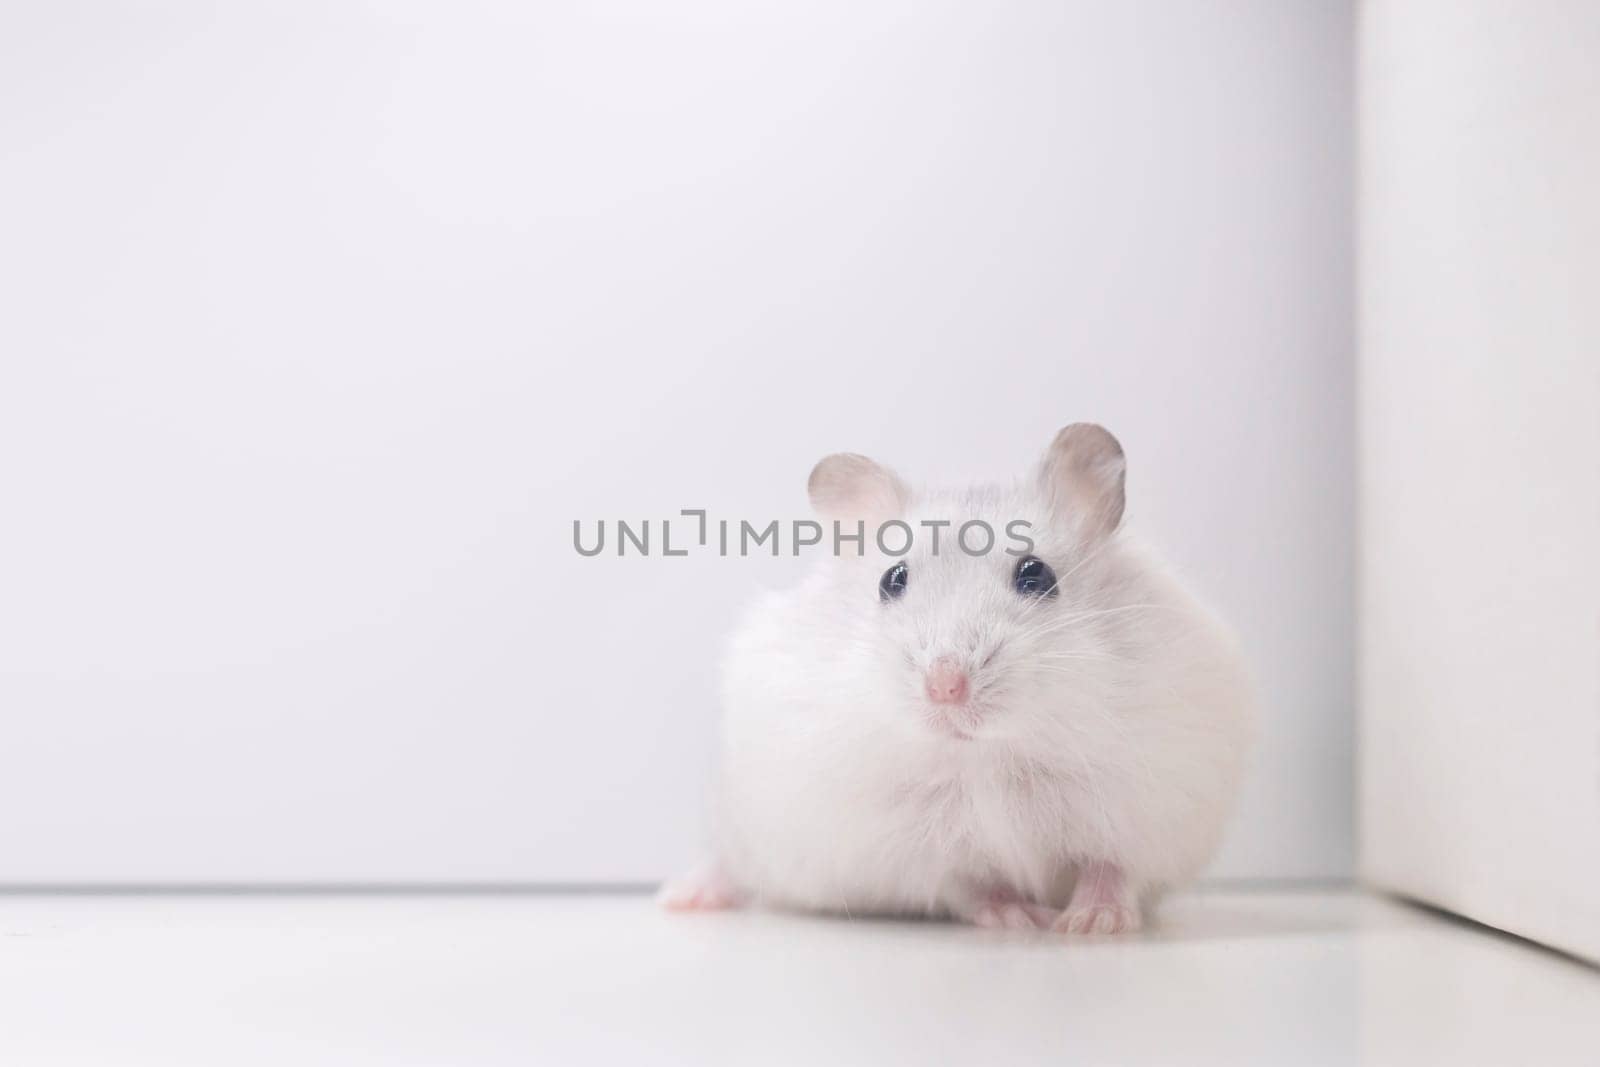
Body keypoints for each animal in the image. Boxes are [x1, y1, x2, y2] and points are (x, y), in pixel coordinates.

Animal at [659, 425, 1248, 934]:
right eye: (891, 579)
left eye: (1036, 574)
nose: (945, 687)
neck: (987, 758)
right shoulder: (907, 851)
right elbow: (969, 886)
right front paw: (1022, 918)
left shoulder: (1149, 813)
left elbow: (1111, 867)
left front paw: (1091, 924)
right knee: (728, 866)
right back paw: (682, 898)